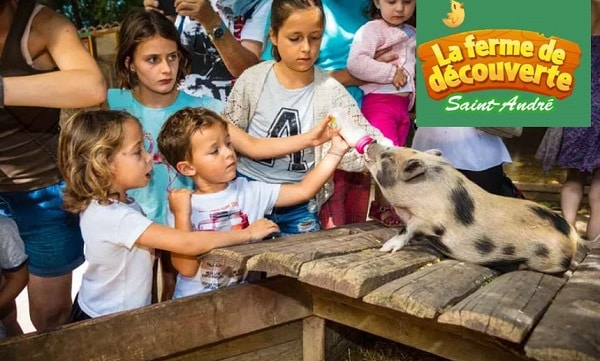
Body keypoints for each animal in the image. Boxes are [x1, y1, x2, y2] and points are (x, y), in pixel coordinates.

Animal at [364, 143, 584, 272]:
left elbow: (407, 228)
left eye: (387, 158)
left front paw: (385, 248)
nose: (371, 143)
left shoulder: (429, 219)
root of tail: (573, 238)